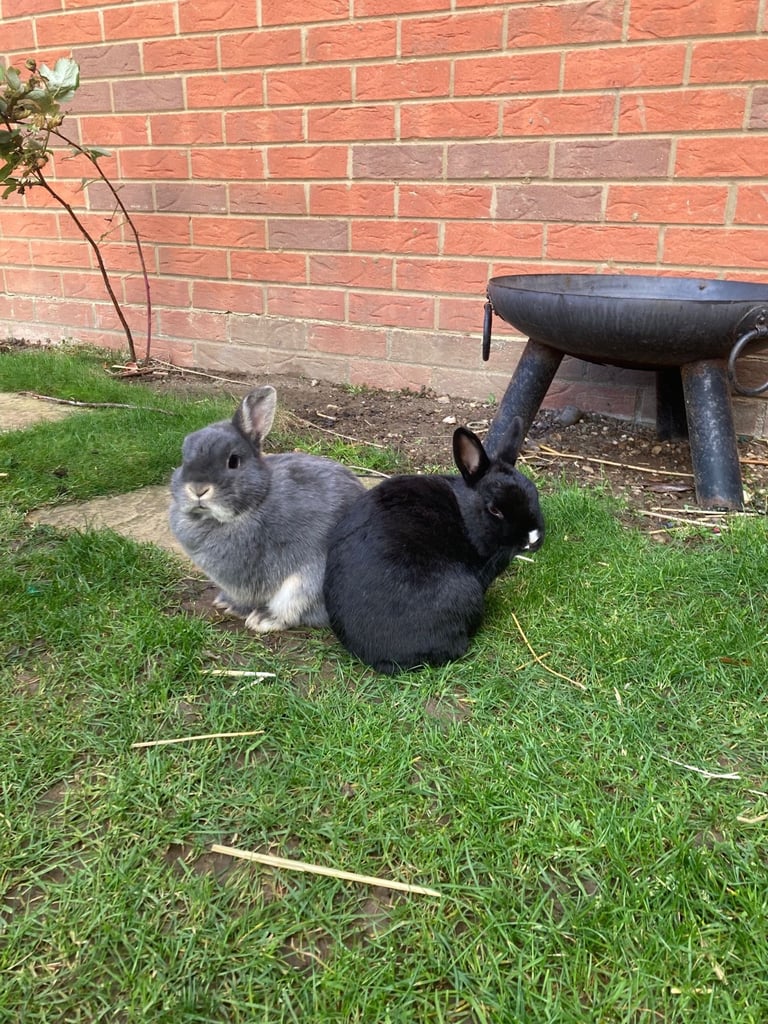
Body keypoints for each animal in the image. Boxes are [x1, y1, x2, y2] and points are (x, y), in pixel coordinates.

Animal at [169, 385, 366, 632]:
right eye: (184, 458)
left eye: (233, 461)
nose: (198, 489)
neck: (258, 501)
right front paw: (228, 604)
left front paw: (253, 615)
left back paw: (263, 619)